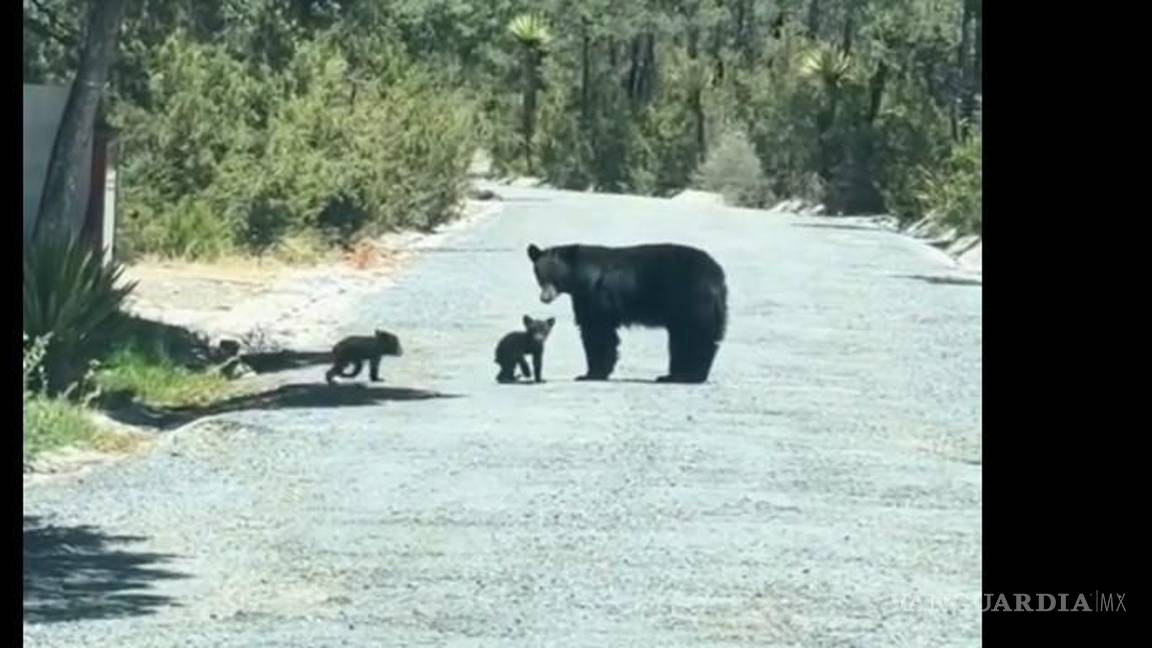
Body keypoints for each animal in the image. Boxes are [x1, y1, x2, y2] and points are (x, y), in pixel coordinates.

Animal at [527, 243, 727, 383]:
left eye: (556, 276)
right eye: (539, 275)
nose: (545, 298)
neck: (583, 278)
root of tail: (716, 276)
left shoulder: (597, 295)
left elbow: (597, 331)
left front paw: (591, 373)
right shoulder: (582, 297)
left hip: (690, 301)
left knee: (693, 336)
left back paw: (684, 376)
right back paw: (678, 375)